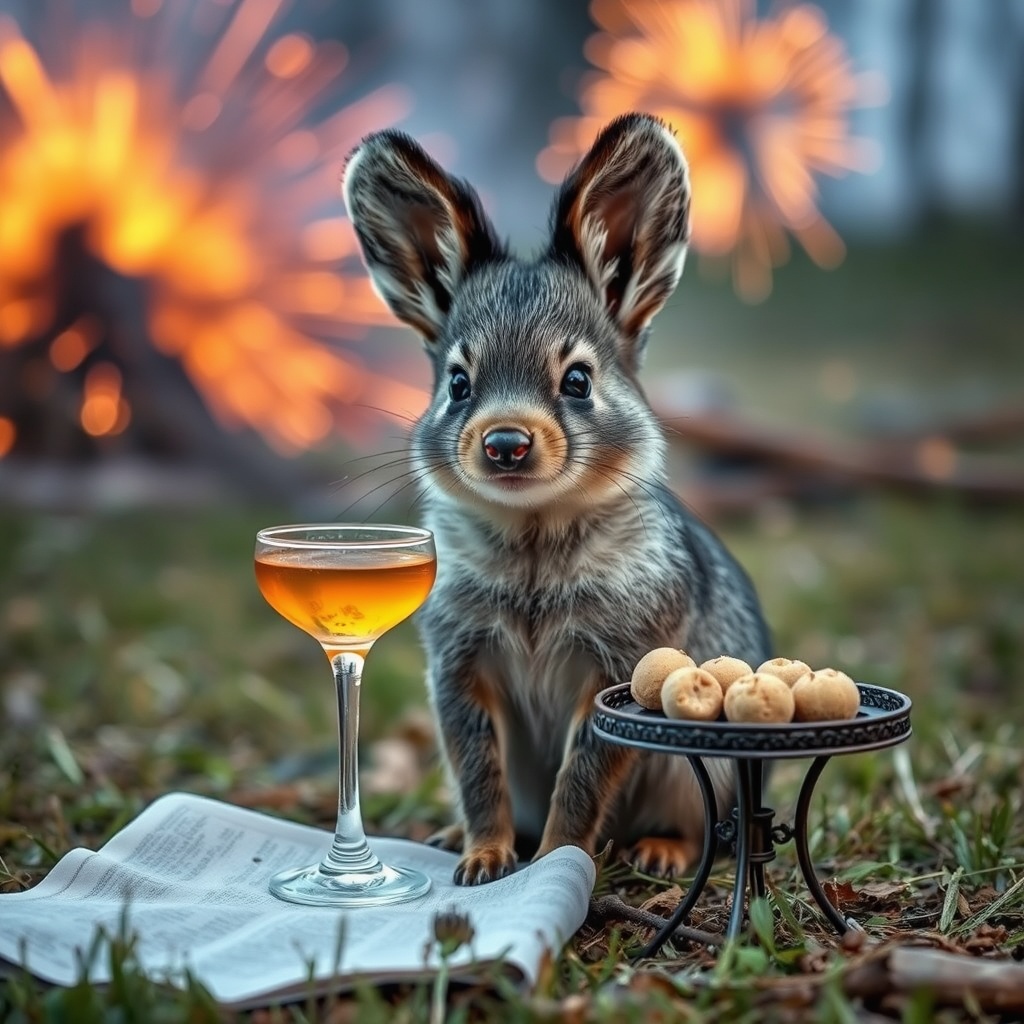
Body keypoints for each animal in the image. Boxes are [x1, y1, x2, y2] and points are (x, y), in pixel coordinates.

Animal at [342, 112, 771, 885]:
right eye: (457, 383)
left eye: (578, 380)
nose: (505, 443)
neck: (534, 535)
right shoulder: (459, 665)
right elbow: (478, 769)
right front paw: (484, 856)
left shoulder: (620, 667)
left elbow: (582, 778)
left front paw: (551, 862)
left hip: (698, 772)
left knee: (700, 824)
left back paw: (662, 851)